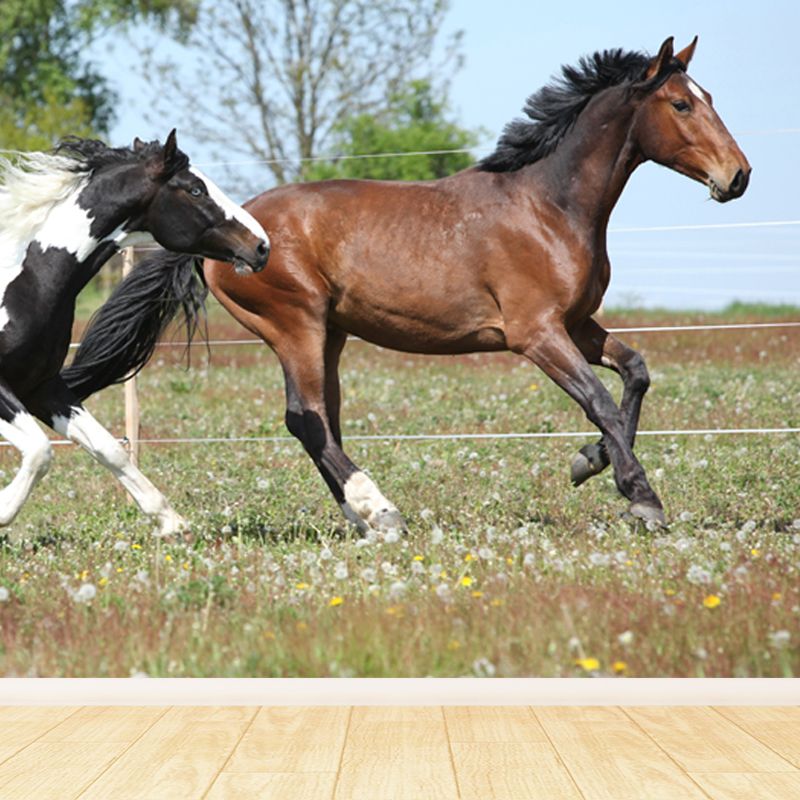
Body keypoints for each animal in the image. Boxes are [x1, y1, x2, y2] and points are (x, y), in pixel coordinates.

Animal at [0, 130, 270, 535]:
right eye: (195, 190)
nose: (262, 246)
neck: (23, 281)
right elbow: (39, 451)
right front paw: (3, 513)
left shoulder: (42, 387)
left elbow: (109, 448)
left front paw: (171, 522)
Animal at [63, 37, 750, 532]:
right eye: (682, 105)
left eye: (711, 95)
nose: (738, 175)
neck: (548, 207)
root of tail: (235, 234)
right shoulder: (536, 334)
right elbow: (600, 401)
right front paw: (643, 499)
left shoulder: (576, 325)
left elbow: (635, 372)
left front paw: (589, 463)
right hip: (296, 326)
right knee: (305, 418)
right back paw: (381, 511)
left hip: (329, 336)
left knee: (323, 421)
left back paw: (361, 515)